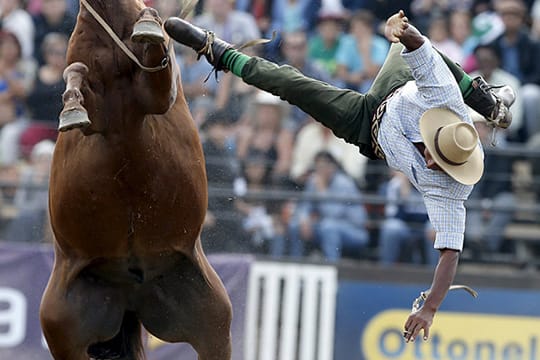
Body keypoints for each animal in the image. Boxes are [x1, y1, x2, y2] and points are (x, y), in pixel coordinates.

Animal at [39, 1, 231, 358]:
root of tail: (131, 292)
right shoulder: (98, 115)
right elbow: (75, 74)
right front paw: (71, 109)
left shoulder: (156, 95)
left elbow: (155, 62)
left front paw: (149, 25)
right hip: (62, 326)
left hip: (213, 322)